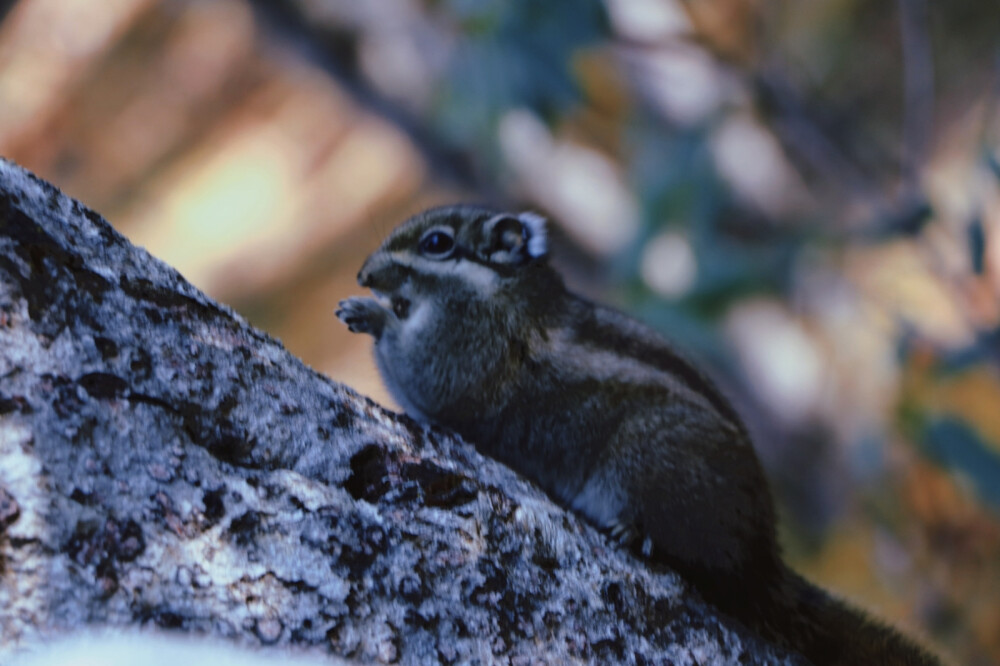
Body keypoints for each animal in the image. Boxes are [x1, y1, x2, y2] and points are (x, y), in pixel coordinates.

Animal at [338, 205, 944, 660]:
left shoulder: (462, 346)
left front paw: (373, 314)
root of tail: (764, 557)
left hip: (651, 465)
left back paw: (636, 534)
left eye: (437, 242)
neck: (504, 290)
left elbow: (420, 372)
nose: (363, 273)